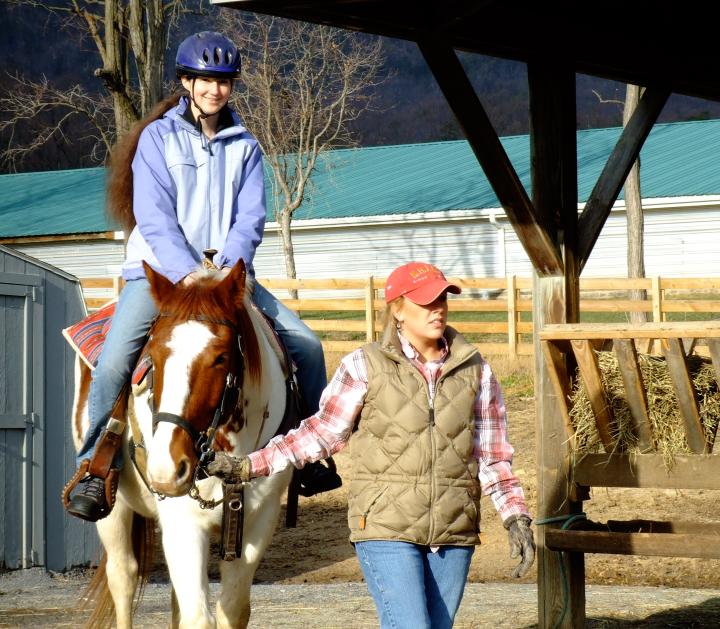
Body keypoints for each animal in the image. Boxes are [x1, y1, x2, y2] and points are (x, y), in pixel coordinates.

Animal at [69, 260, 292, 628]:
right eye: (153, 356)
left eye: (220, 357)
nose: (167, 470)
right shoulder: (182, 522)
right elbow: (198, 617)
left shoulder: (258, 523)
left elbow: (232, 609)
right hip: (111, 510)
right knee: (123, 577)